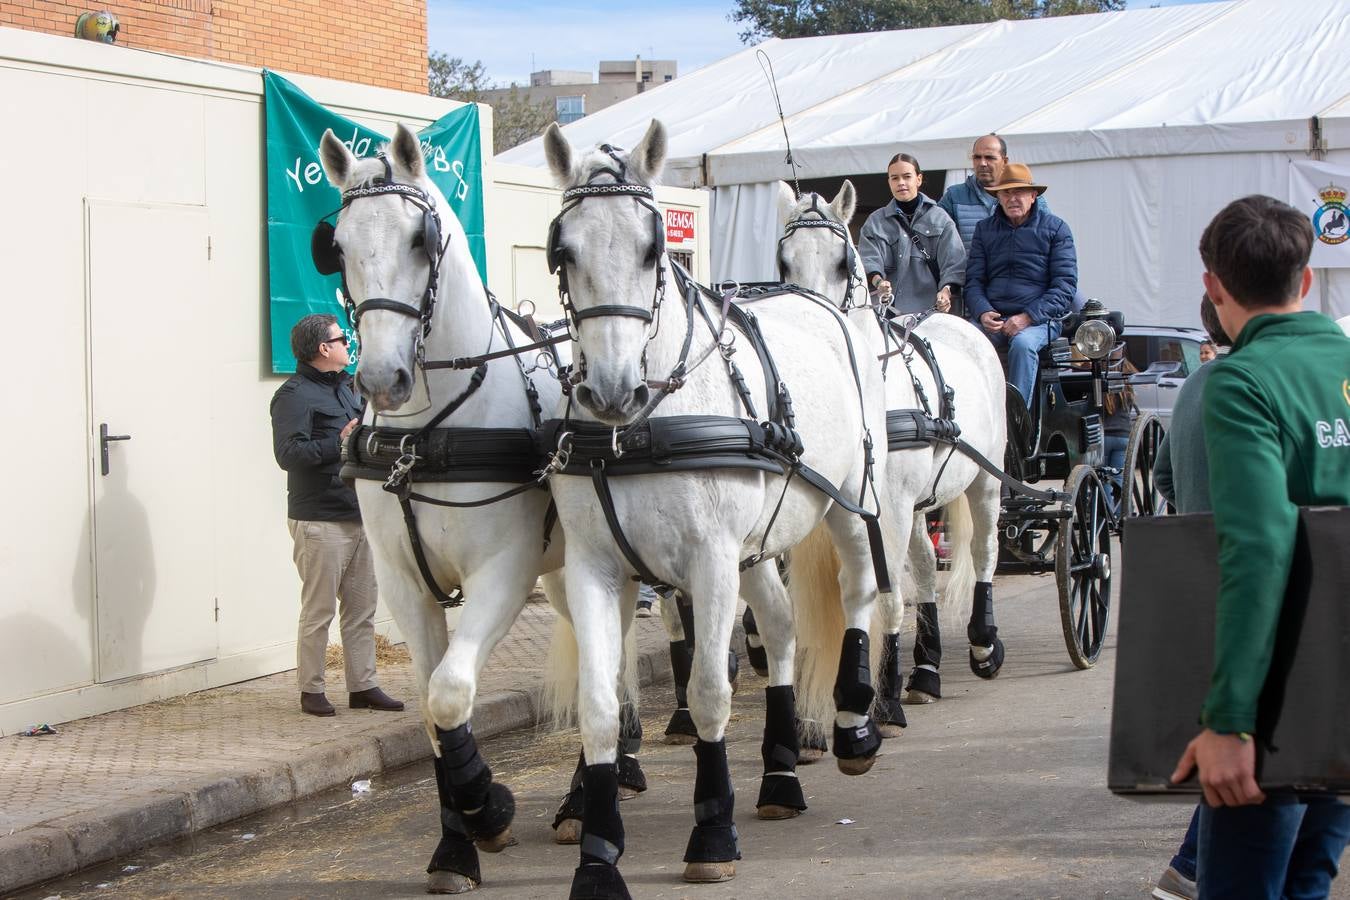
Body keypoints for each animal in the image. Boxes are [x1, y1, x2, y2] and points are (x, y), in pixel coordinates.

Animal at [318, 126, 645, 895]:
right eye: (338, 245)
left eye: (420, 240)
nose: (380, 378)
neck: (425, 432)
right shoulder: (404, 586)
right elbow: (432, 713)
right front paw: (456, 843)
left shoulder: (503, 570)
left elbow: (450, 691)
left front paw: (489, 806)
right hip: (565, 572)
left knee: (620, 667)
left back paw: (600, 788)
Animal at [537, 121, 896, 900]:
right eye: (564, 251)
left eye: (652, 249)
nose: (613, 388)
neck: (641, 428)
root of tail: (821, 308)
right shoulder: (596, 568)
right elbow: (601, 708)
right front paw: (599, 857)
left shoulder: (709, 562)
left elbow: (708, 690)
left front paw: (712, 829)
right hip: (756, 549)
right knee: (784, 628)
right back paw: (781, 773)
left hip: (854, 502)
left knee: (860, 590)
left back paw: (854, 723)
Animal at [777, 184, 1009, 717]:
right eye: (784, 261)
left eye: (843, 262)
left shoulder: (891, 507)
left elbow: (884, 596)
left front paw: (879, 696)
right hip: (922, 501)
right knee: (924, 565)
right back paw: (926, 669)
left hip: (986, 478)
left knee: (984, 549)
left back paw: (984, 644)